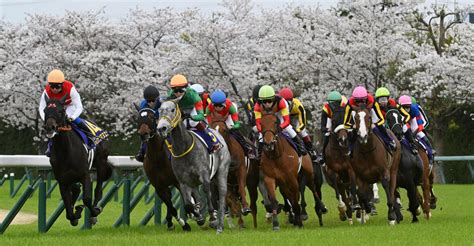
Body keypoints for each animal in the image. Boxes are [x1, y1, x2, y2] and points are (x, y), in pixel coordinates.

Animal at [42, 95, 112, 226]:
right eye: (45, 111)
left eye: (61, 111)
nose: (49, 127)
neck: (66, 152)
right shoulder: (63, 181)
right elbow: (68, 208)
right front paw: (76, 214)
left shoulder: (85, 175)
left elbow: (87, 199)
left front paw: (94, 211)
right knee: (76, 190)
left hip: (102, 163)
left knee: (98, 189)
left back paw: (94, 212)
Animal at [156, 99, 231, 233]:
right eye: (160, 110)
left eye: (172, 110)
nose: (161, 128)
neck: (183, 148)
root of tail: (218, 133)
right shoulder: (183, 182)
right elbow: (188, 204)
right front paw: (199, 217)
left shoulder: (204, 176)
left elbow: (207, 193)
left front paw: (212, 219)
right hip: (194, 182)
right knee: (197, 196)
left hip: (222, 172)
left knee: (222, 196)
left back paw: (220, 225)